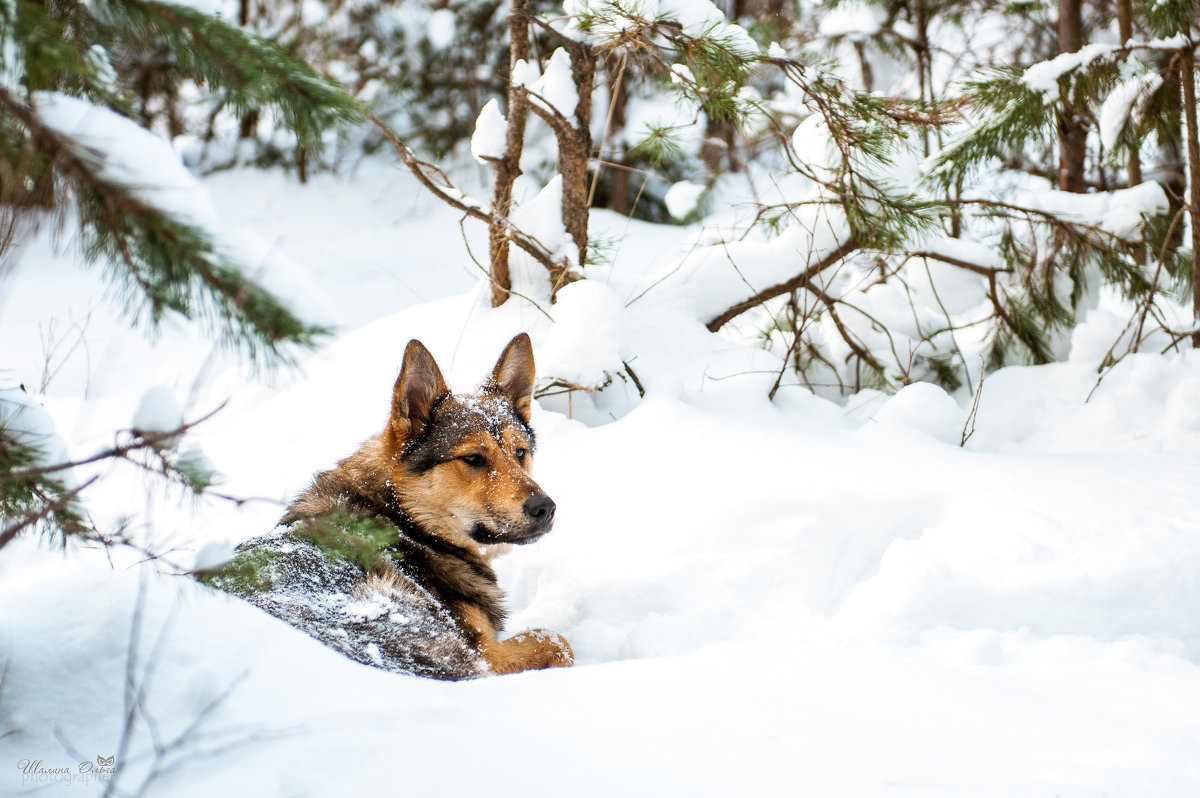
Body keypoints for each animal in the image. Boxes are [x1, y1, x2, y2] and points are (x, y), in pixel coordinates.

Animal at [217, 333, 576, 676]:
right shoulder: (486, 655)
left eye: (520, 453)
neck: (403, 521)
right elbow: (559, 642)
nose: (545, 507)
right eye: (473, 458)